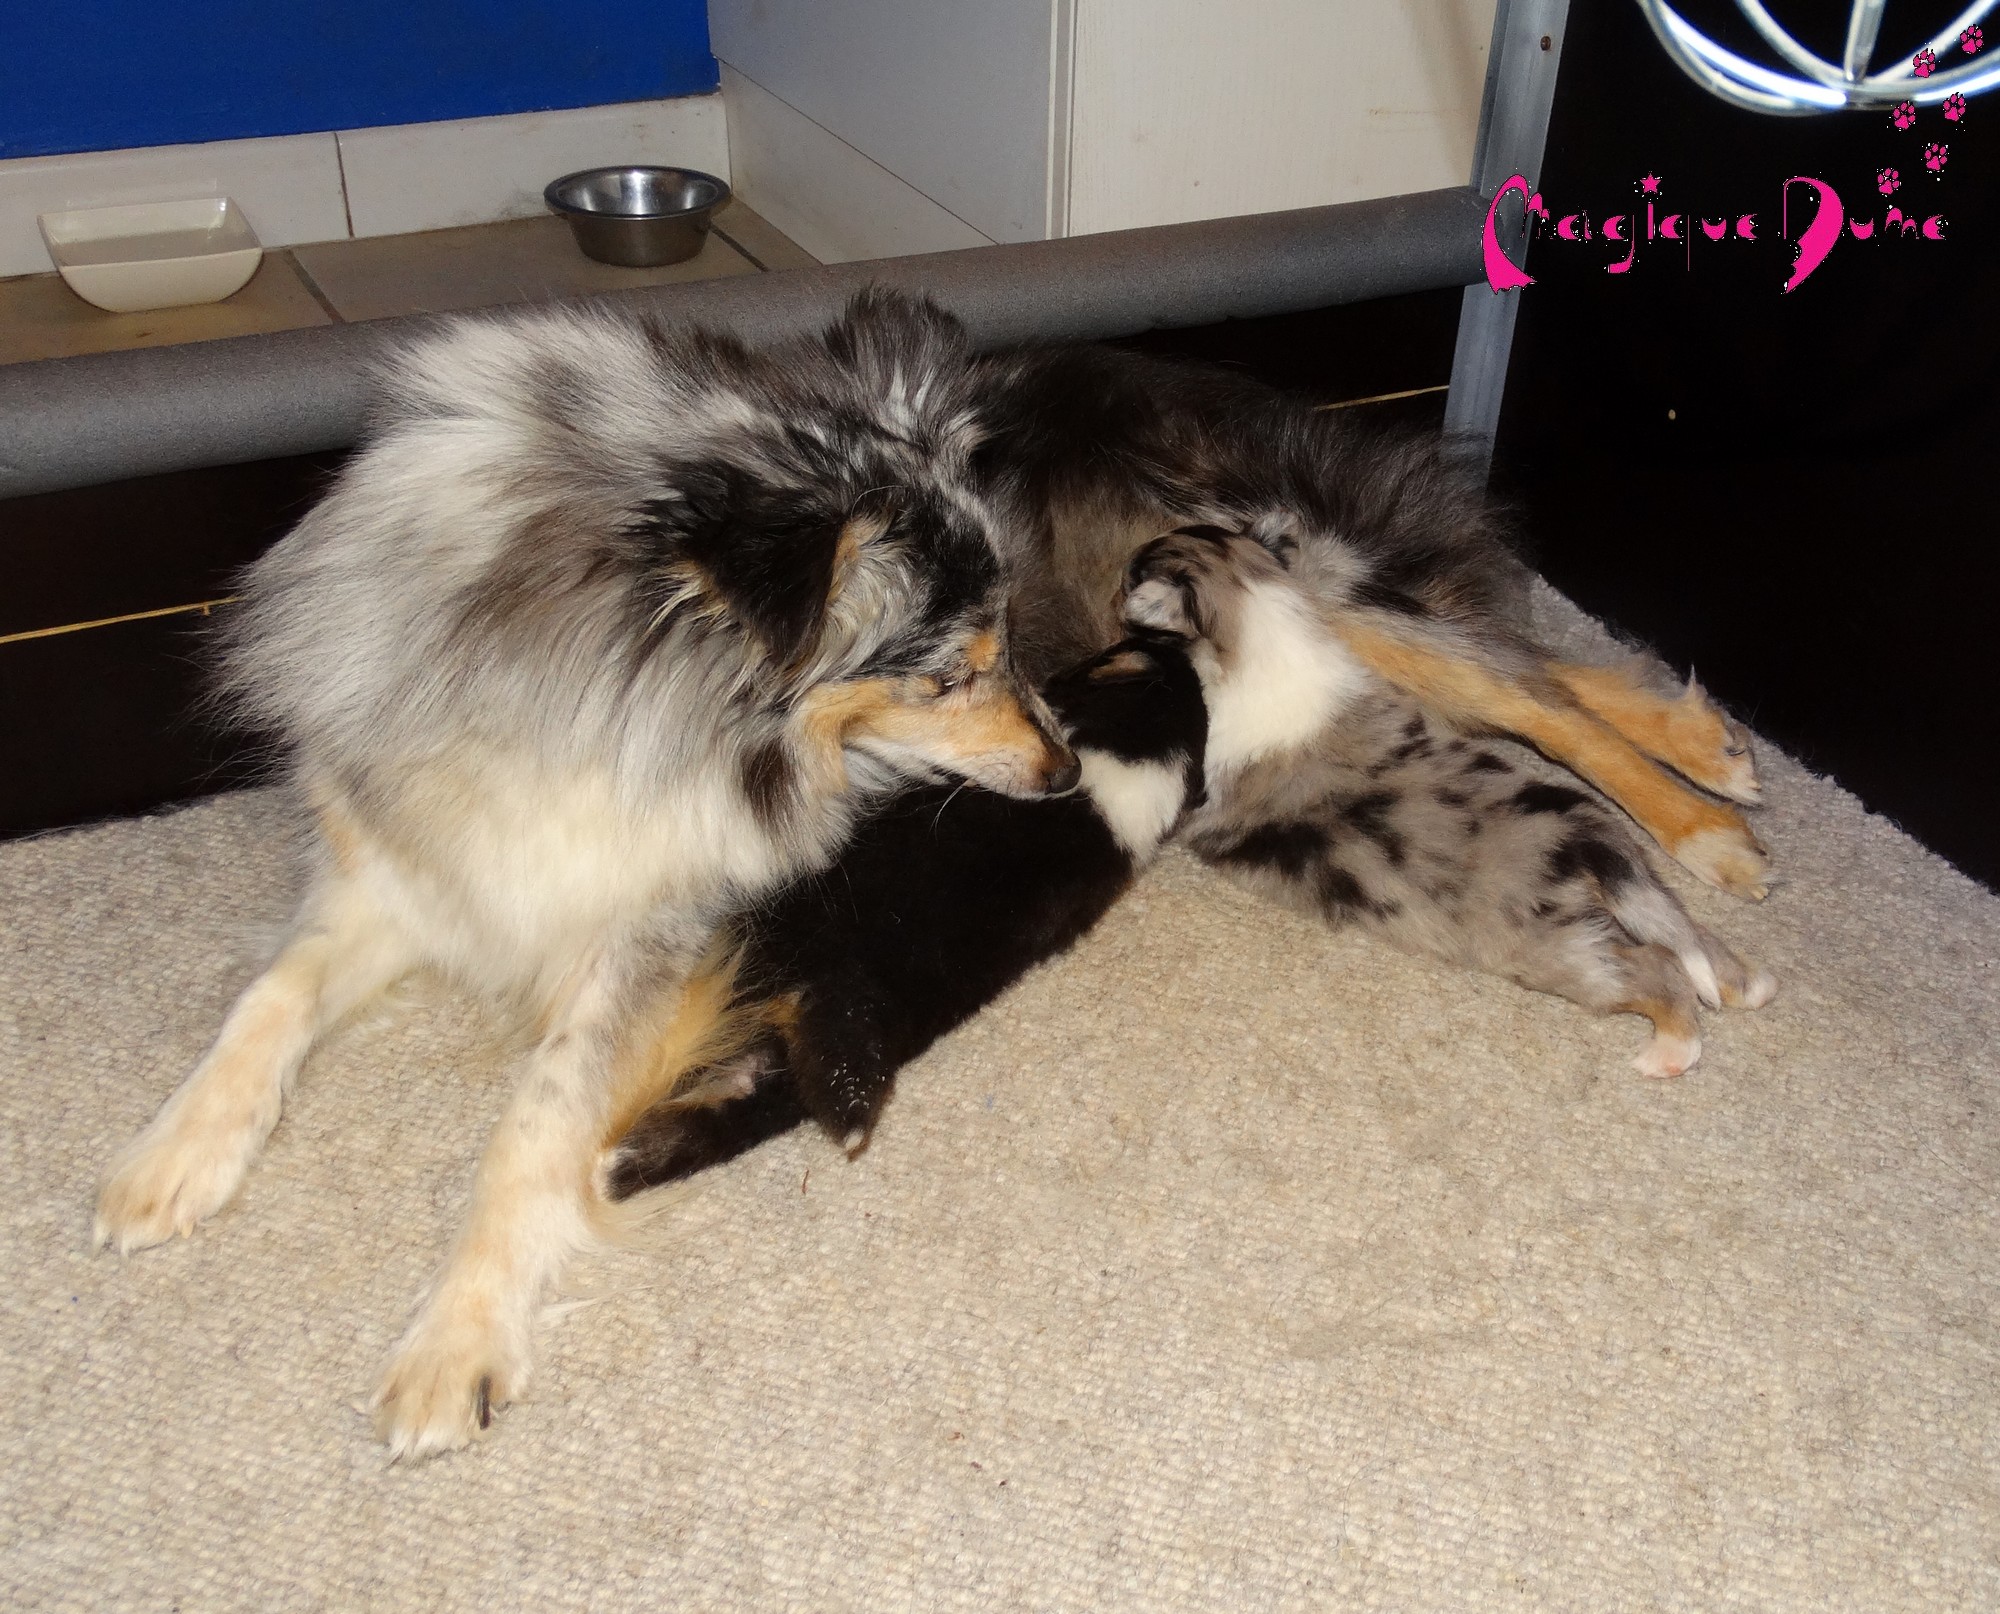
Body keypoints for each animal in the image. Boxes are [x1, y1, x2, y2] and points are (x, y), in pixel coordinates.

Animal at [92, 290, 1078, 1459]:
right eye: (947, 677)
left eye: (1002, 644)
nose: (1065, 769)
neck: (585, 708)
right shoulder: (407, 875)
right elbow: (271, 993)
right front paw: (173, 1155)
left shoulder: (651, 937)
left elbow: (540, 1115)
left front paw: (456, 1344)